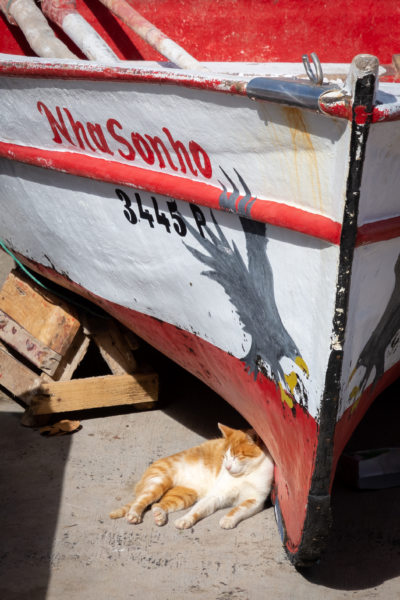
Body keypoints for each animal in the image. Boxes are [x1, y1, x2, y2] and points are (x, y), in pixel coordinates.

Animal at [110, 422, 276, 528]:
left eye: (237, 456)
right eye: (225, 457)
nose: (227, 467)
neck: (245, 475)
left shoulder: (255, 500)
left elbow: (238, 509)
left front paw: (227, 520)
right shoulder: (215, 495)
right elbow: (197, 510)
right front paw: (185, 519)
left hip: (184, 496)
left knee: (157, 505)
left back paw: (159, 516)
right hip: (158, 483)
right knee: (141, 500)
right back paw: (134, 515)